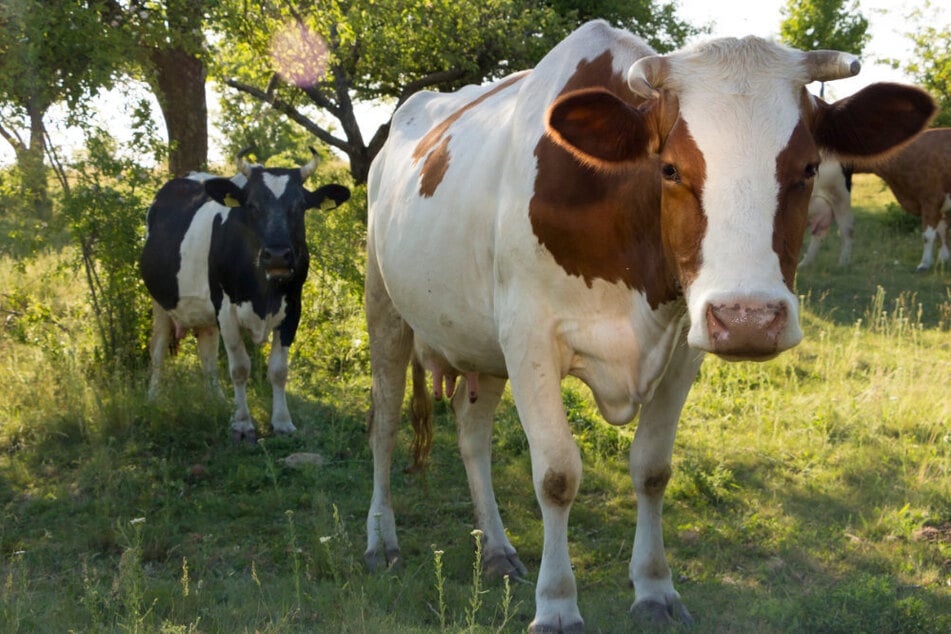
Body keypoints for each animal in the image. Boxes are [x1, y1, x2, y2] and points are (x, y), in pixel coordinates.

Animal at [139, 147, 352, 440]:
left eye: (299, 206)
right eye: (252, 205)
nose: (277, 255)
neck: (264, 294)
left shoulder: (293, 308)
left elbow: (279, 370)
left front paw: (282, 422)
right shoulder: (226, 309)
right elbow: (239, 368)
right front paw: (242, 424)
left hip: (206, 310)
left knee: (207, 353)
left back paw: (217, 400)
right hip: (160, 301)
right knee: (158, 350)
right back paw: (153, 398)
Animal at [364, 18, 936, 628]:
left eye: (807, 168)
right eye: (670, 168)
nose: (750, 319)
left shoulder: (685, 344)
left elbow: (652, 468)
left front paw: (655, 588)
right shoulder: (528, 338)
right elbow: (557, 475)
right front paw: (557, 604)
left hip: (480, 342)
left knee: (472, 433)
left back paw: (496, 548)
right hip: (385, 306)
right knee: (386, 421)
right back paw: (381, 541)